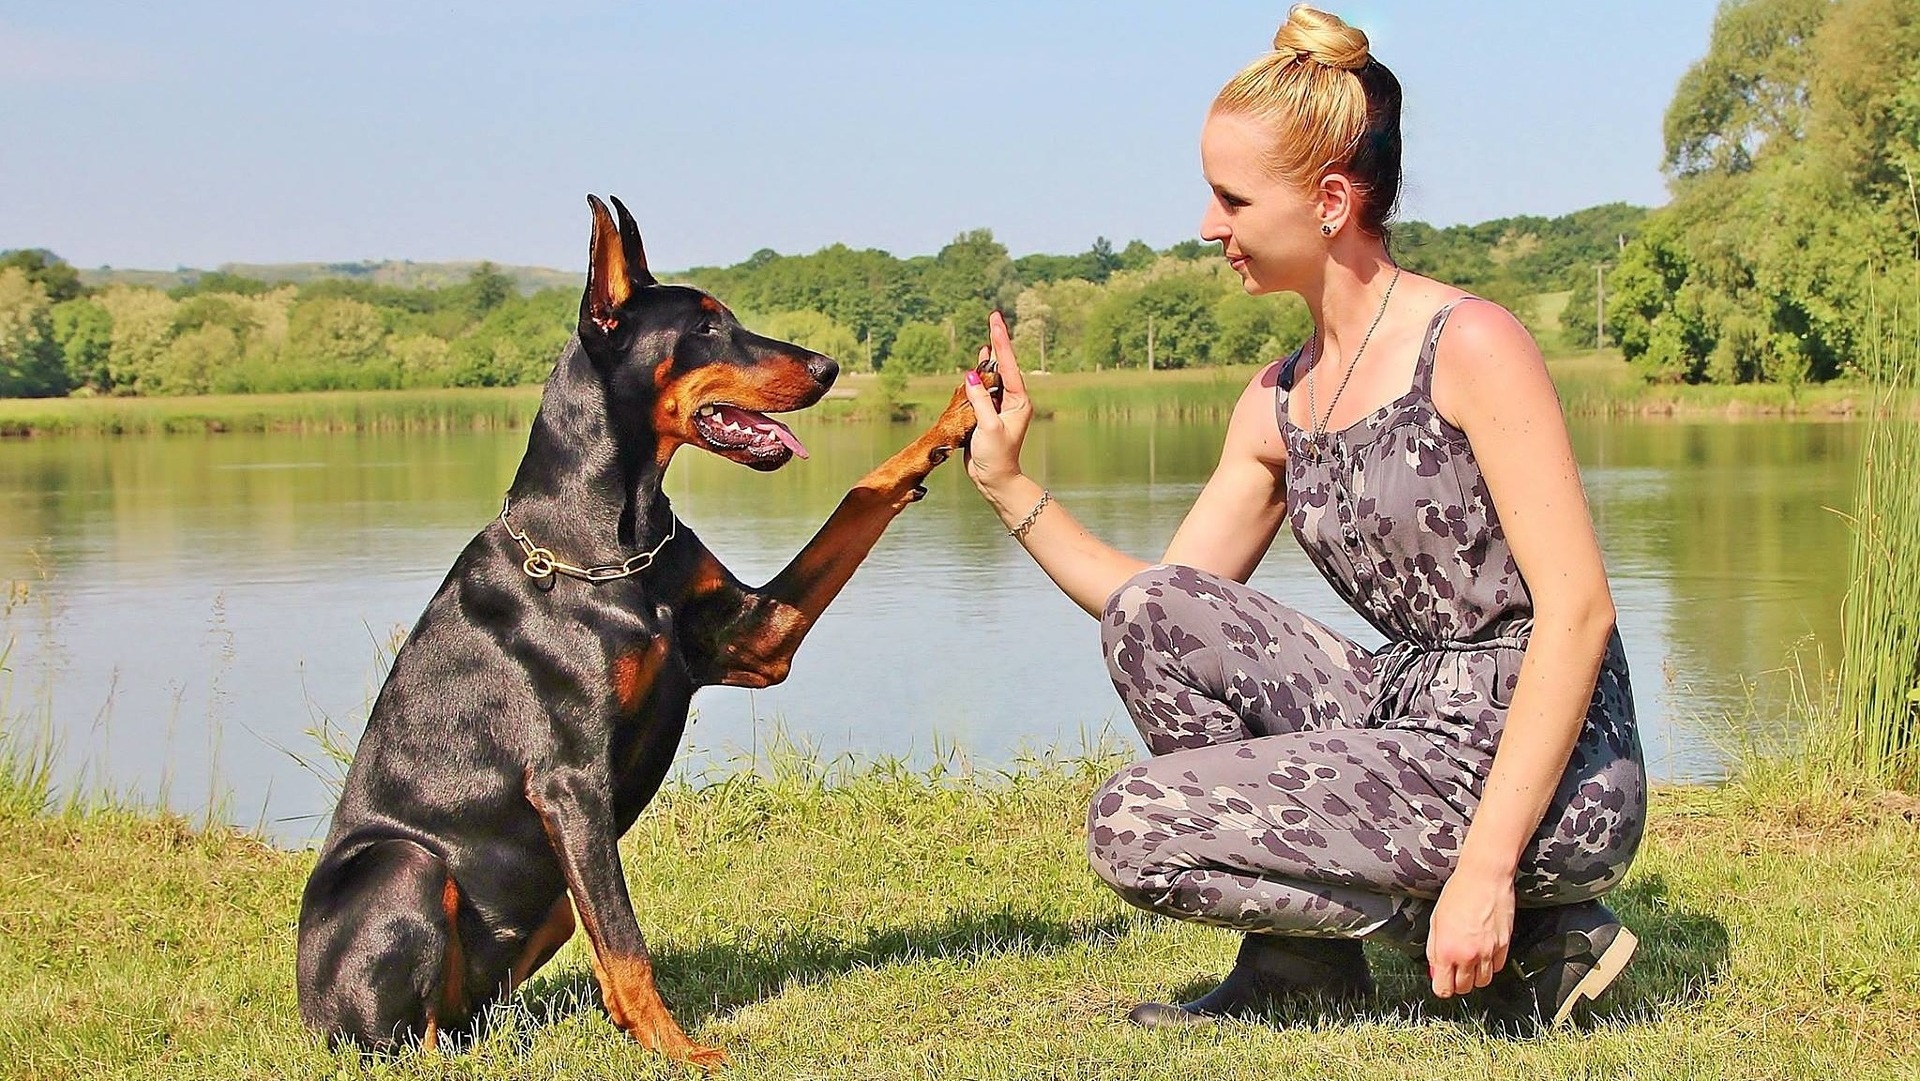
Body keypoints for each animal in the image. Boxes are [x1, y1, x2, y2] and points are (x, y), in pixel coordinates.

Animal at [291, 192, 998, 1067]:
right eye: (705, 326)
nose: (829, 368)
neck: (612, 541)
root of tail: (307, 1011)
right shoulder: (568, 783)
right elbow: (628, 941)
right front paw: (683, 1049)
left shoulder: (756, 639)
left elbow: (860, 494)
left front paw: (963, 408)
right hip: (405, 866)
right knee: (406, 1038)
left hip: (548, 902)